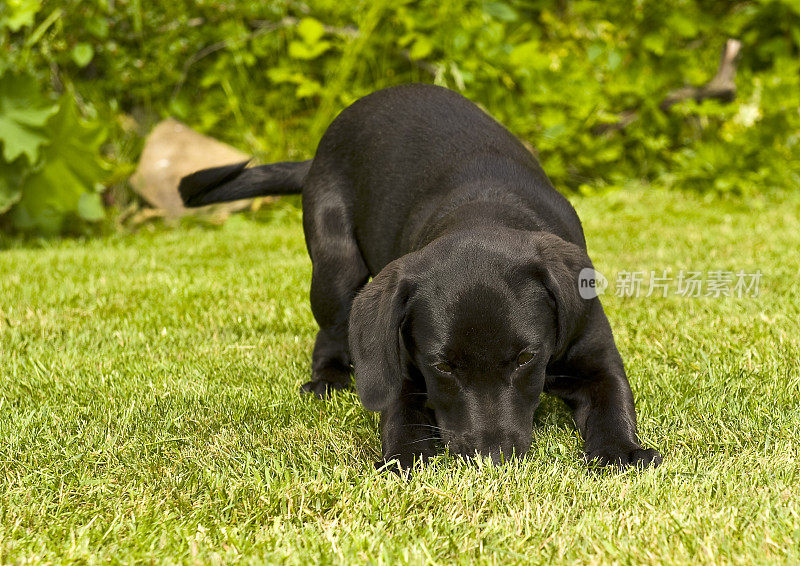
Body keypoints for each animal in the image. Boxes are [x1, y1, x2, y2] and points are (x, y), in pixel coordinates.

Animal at [181, 83, 664, 470]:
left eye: (526, 358)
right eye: (443, 366)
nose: (491, 457)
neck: (485, 211)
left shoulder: (595, 356)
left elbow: (612, 404)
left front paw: (621, 452)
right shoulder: (397, 363)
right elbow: (400, 416)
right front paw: (404, 459)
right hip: (335, 265)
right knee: (331, 328)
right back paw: (328, 379)